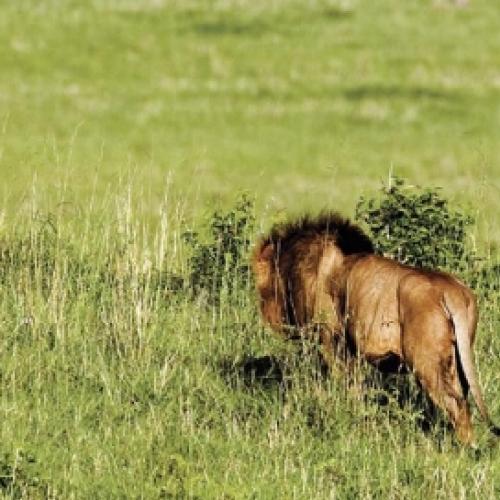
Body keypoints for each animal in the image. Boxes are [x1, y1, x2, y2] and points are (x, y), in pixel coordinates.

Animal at [256, 211, 498, 442]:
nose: (268, 316)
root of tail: (452, 292)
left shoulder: (332, 339)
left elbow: (345, 383)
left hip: (426, 361)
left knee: (456, 404)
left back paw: (464, 449)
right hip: (456, 359)